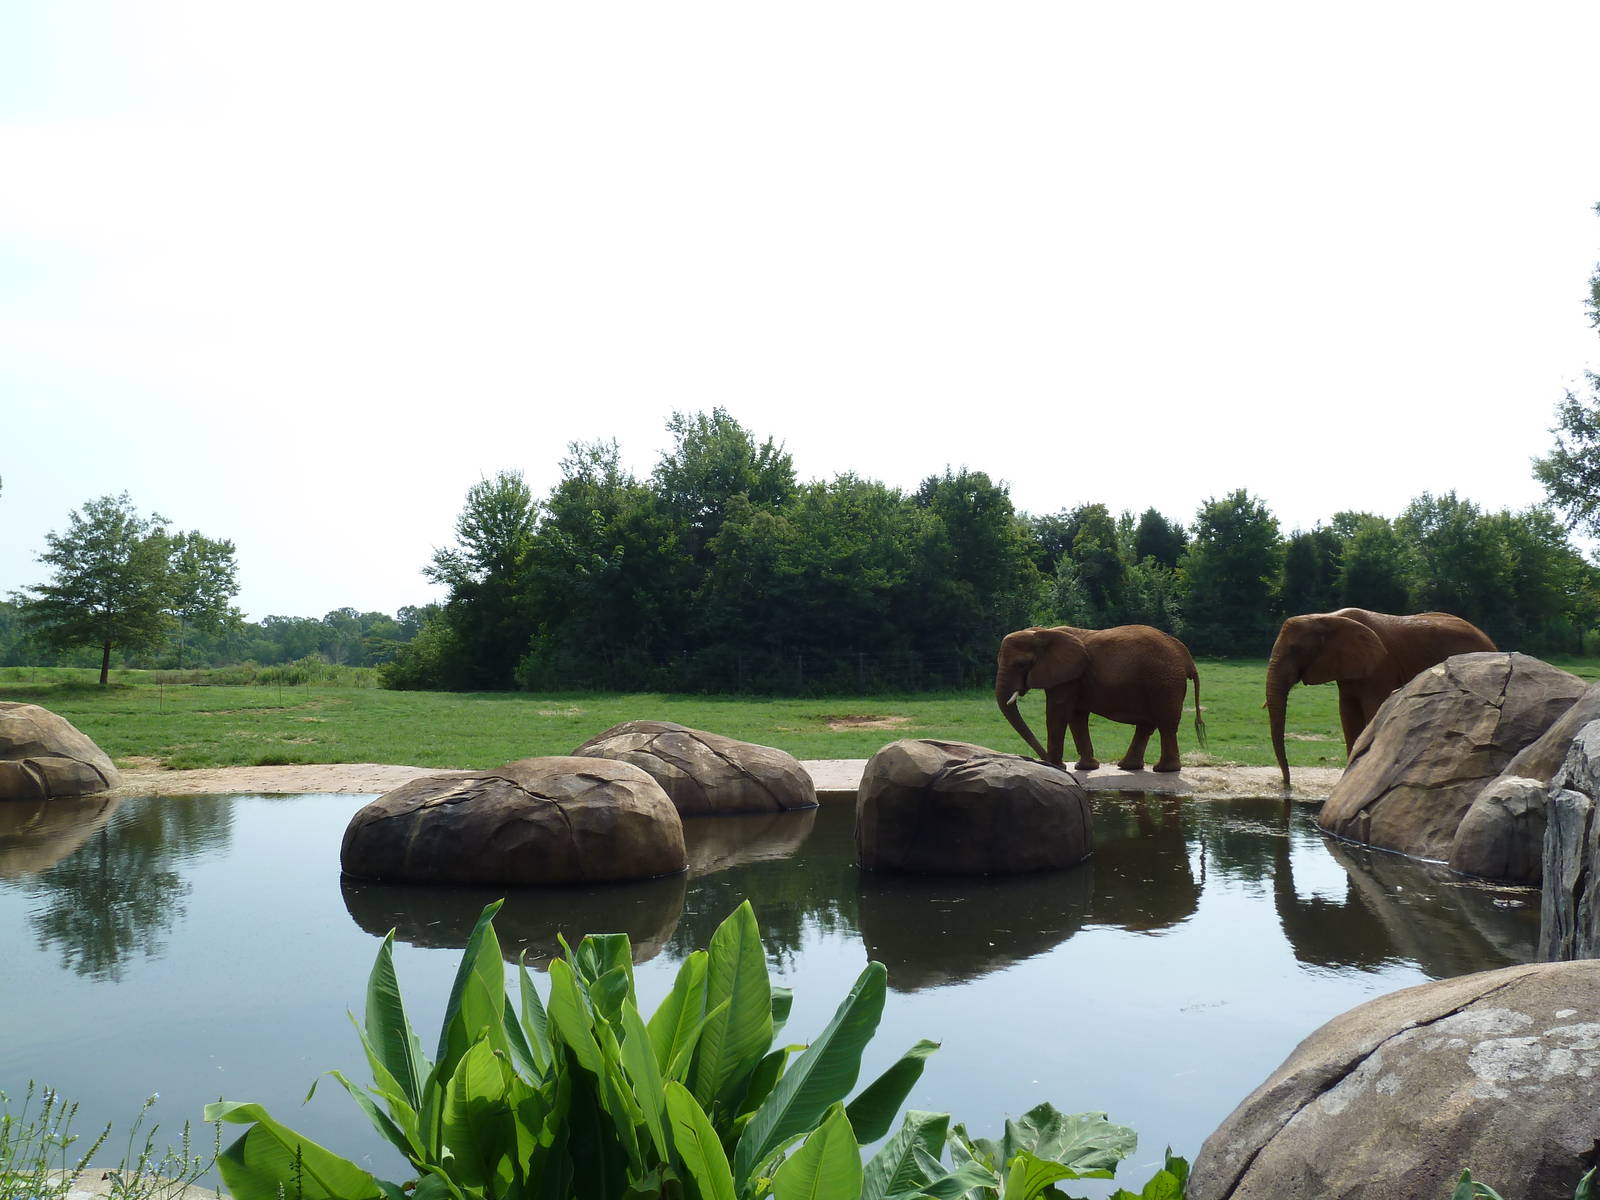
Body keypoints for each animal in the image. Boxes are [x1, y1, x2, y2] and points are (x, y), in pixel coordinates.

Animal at [995, 625, 1204, 772]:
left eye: (1021, 665)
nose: (1042, 759)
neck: (1042, 632)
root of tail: (1187, 658)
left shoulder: (1068, 676)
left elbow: (1058, 711)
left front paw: (1055, 767)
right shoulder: (1075, 678)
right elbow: (1076, 716)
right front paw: (1084, 768)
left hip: (1164, 683)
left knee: (1165, 724)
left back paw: (1164, 770)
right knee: (1147, 725)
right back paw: (1128, 766)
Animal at [1266, 608, 1496, 788]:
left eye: (1296, 650)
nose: (1286, 784)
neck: (1327, 617)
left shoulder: (1381, 667)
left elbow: (1374, 709)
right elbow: (1348, 715)